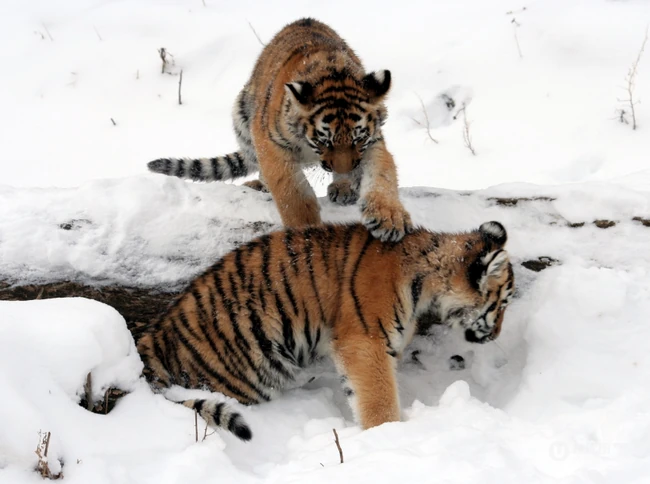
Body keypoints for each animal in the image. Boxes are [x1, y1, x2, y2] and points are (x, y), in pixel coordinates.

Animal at [131, 221, 515, 441]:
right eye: (501, 304)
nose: (497, 335)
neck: (424, 278)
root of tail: (152, 341)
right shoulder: (365, 341)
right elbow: (378, 396)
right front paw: (388, 434)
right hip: (248, 375)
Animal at [146, 18, 413, 243]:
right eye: (324, 142)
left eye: (358, 140)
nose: (345, 170)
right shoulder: (271, 143)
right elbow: (291, 192)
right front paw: (305, 229)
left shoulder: (374, 142)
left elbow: (383, 174)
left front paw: (389, 219)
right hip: (242, 117)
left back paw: (343, 187)